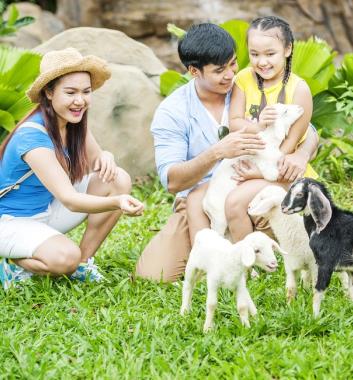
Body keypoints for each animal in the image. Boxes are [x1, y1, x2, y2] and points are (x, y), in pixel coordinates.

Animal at [202, 102, 304, 236]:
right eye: (285, 111)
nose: (300, 107)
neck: (269, 139)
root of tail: (205, 204)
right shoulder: (266, 165)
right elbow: (274, 175)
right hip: (219, 218)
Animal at [280, 179, 352, 318]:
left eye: (300, 194)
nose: (283, 207)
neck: (328, 225)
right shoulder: (349, 270)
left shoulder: (325, 265)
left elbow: (318, 291)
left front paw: (315, 318)